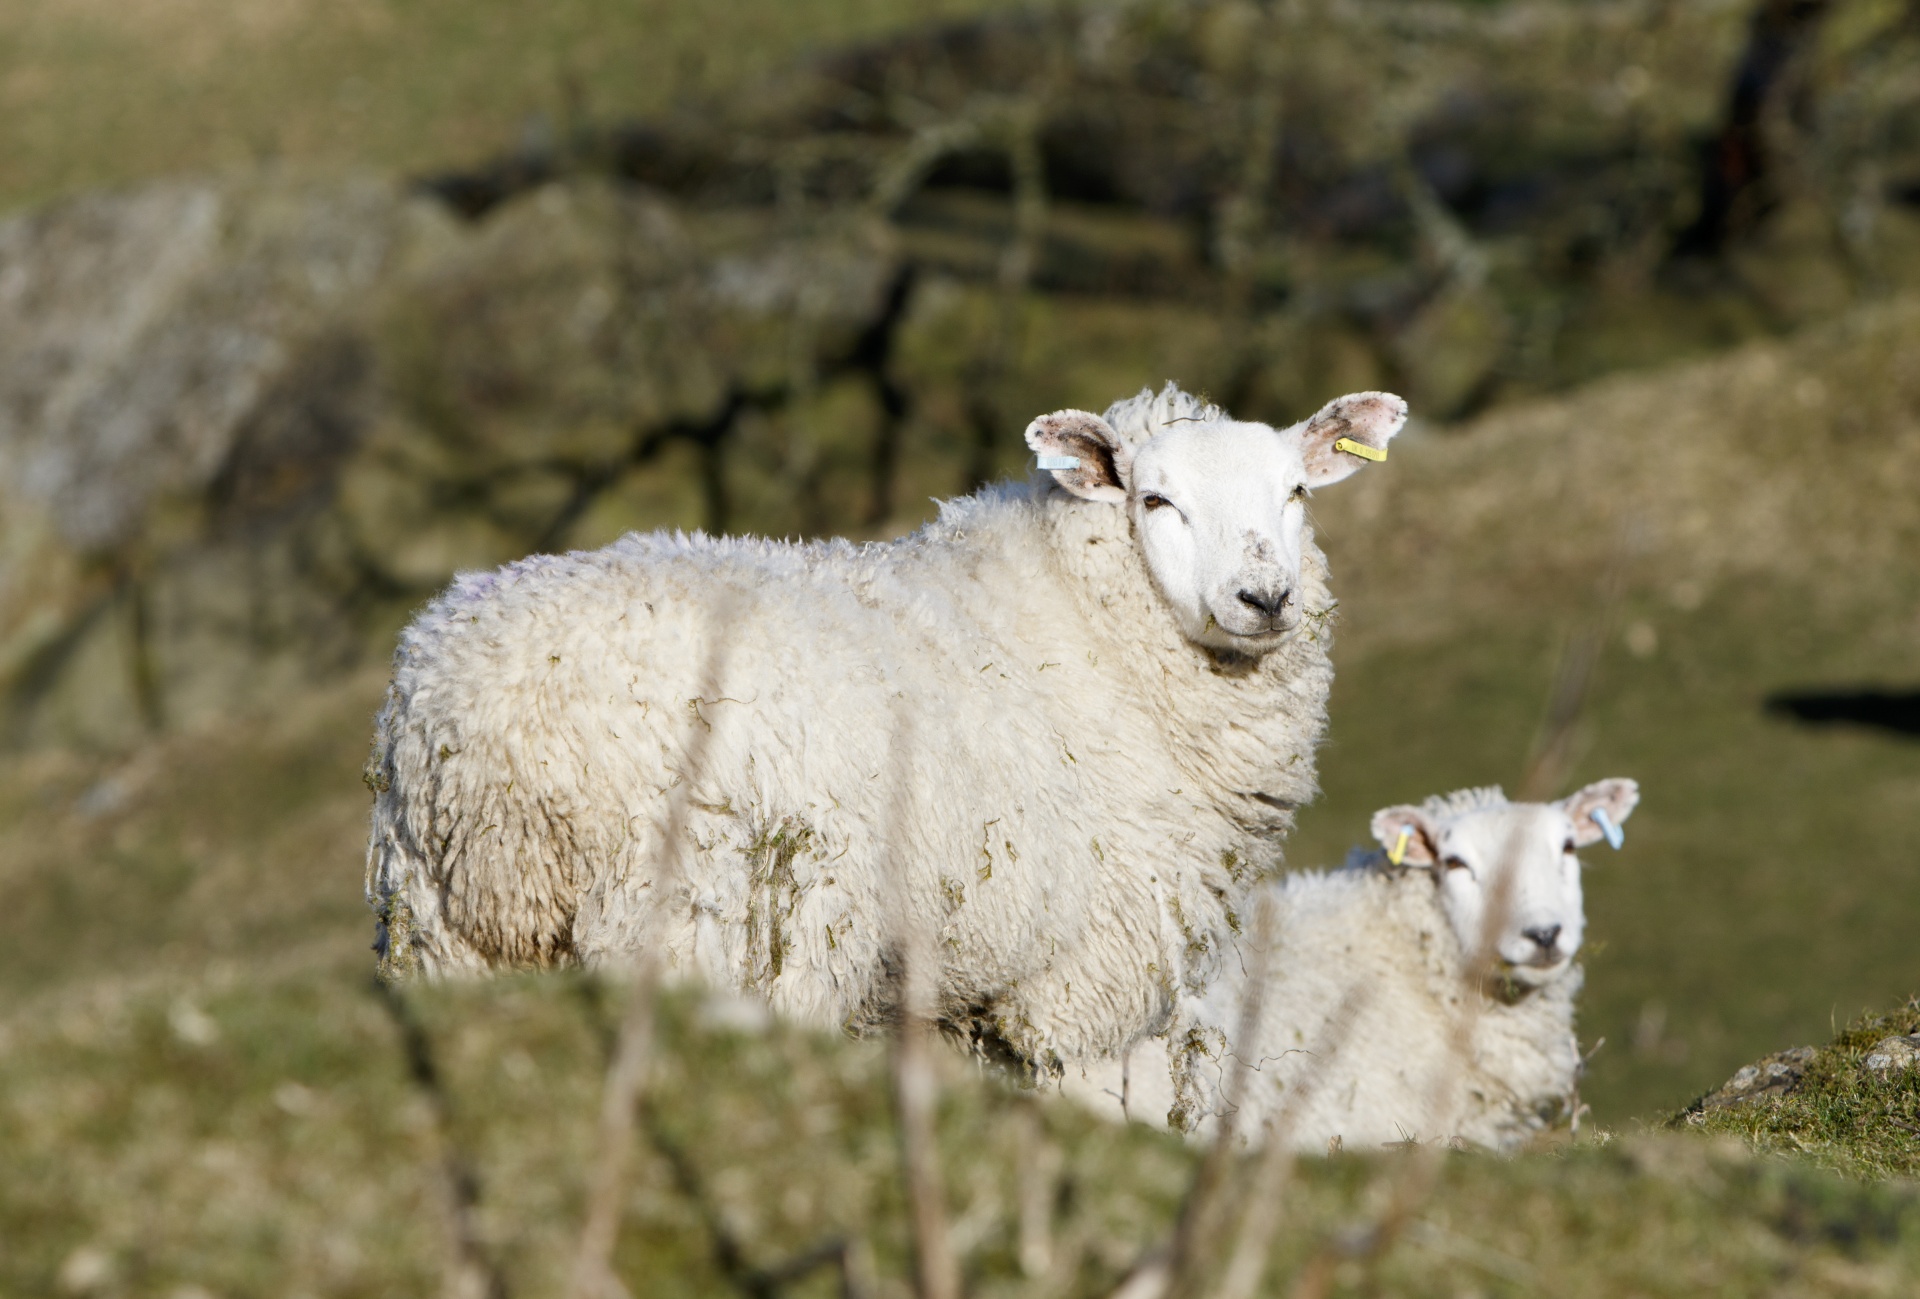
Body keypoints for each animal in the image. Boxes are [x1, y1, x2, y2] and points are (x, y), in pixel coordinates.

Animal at [362, 381, 1413, 1074]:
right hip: (706, 930)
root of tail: (492, 721)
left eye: (1297, 494)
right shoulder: (1067, 984)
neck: (1083, 621)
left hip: (447, 938)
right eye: (1156, 500)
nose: (1264, 598)